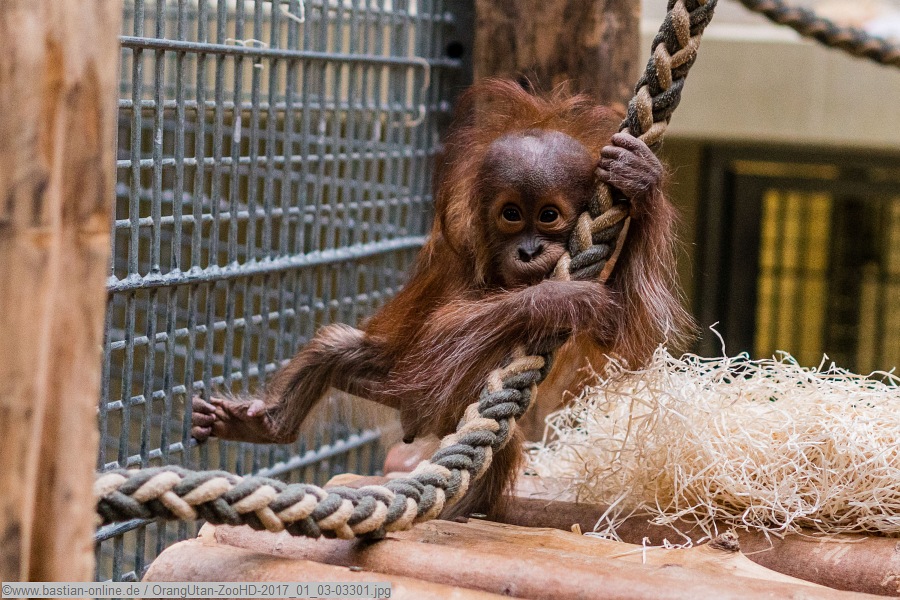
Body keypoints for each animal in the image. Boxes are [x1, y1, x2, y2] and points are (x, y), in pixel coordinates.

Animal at [191, 78, 694, 517]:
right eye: (511, 214)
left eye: (549, 216)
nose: (529, 250)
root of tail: (416, 422)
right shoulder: (464, 257)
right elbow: (440, 332)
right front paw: (557, 296)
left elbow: (623, 334)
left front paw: (640, 179)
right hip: (395, 379)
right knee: (338, 349)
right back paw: (267, 426)